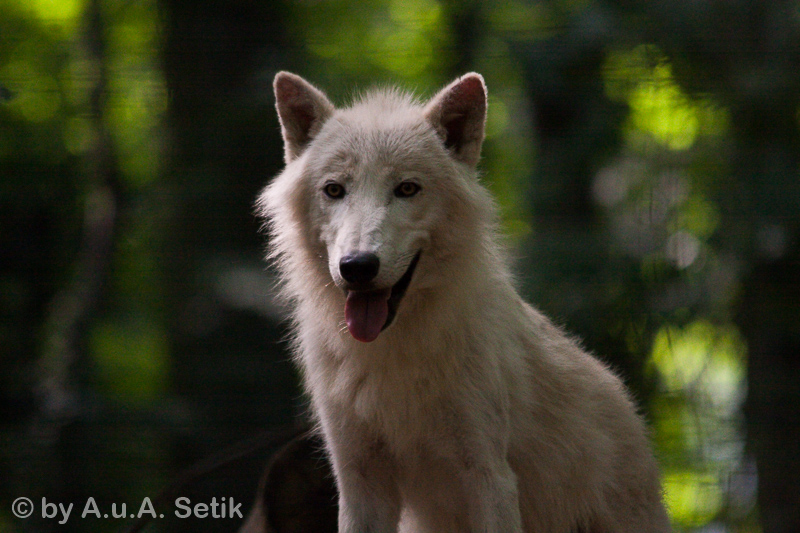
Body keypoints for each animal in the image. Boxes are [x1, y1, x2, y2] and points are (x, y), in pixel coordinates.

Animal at [260, 71, 672, 532]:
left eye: (407, 188)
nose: (358, 266)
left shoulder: (489, 477)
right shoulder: (358, 482)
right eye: (334, 190)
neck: (393, 356)